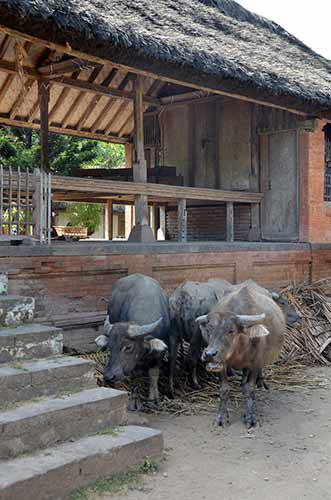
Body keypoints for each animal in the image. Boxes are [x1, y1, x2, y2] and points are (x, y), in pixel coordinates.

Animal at [94, 276, 178, 404]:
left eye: (128, 347)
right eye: (110, 347)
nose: (109, 376)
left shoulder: (160, 353)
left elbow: (154, 374)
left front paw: (154, 398)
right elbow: (136, 376)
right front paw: (135, 399)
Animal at [197, 286, 286, 430]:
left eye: (231, 331)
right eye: (209, 330)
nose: (209, 354)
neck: (239, 349)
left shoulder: (255, 364)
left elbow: (250, 389)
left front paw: (250, 418)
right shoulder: (222, 365)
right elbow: (224, 390)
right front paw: (221, 417)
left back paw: (260, 383)